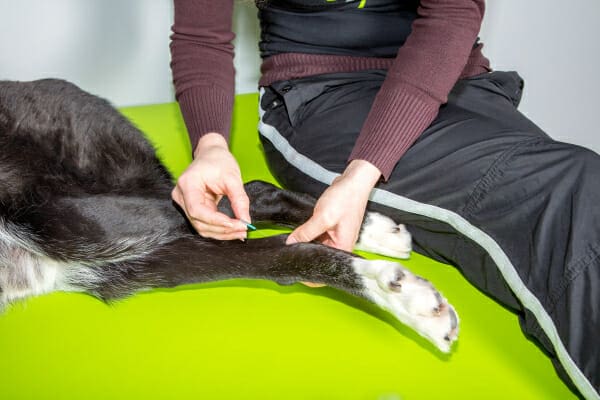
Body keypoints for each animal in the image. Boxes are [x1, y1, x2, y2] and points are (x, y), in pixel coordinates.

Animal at [0, 79, 458, 352]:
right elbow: (285, 257)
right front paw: (402, 296)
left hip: (69, 212)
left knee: (238, 196)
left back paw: (367, 226)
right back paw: (373, 238)